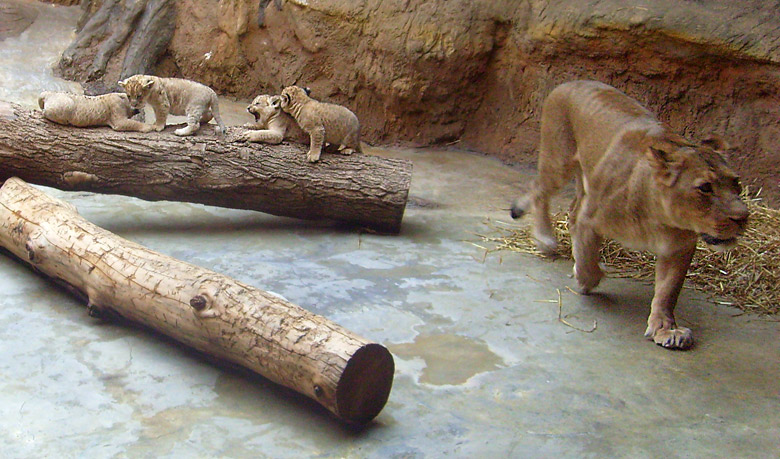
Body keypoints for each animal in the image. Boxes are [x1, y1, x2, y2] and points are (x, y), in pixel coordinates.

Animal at [512, 81, 748, 350]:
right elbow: (588, 263)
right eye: (705, 188)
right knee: (539, 190)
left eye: (736, 182)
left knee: (571, 209)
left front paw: (666, 329)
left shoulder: (679, 247)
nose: (743, 217)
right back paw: (545, 240)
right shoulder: (590, 219)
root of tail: (571, 82)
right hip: (558, 160)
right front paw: (585, 279)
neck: (661, 219)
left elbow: (668, 291)